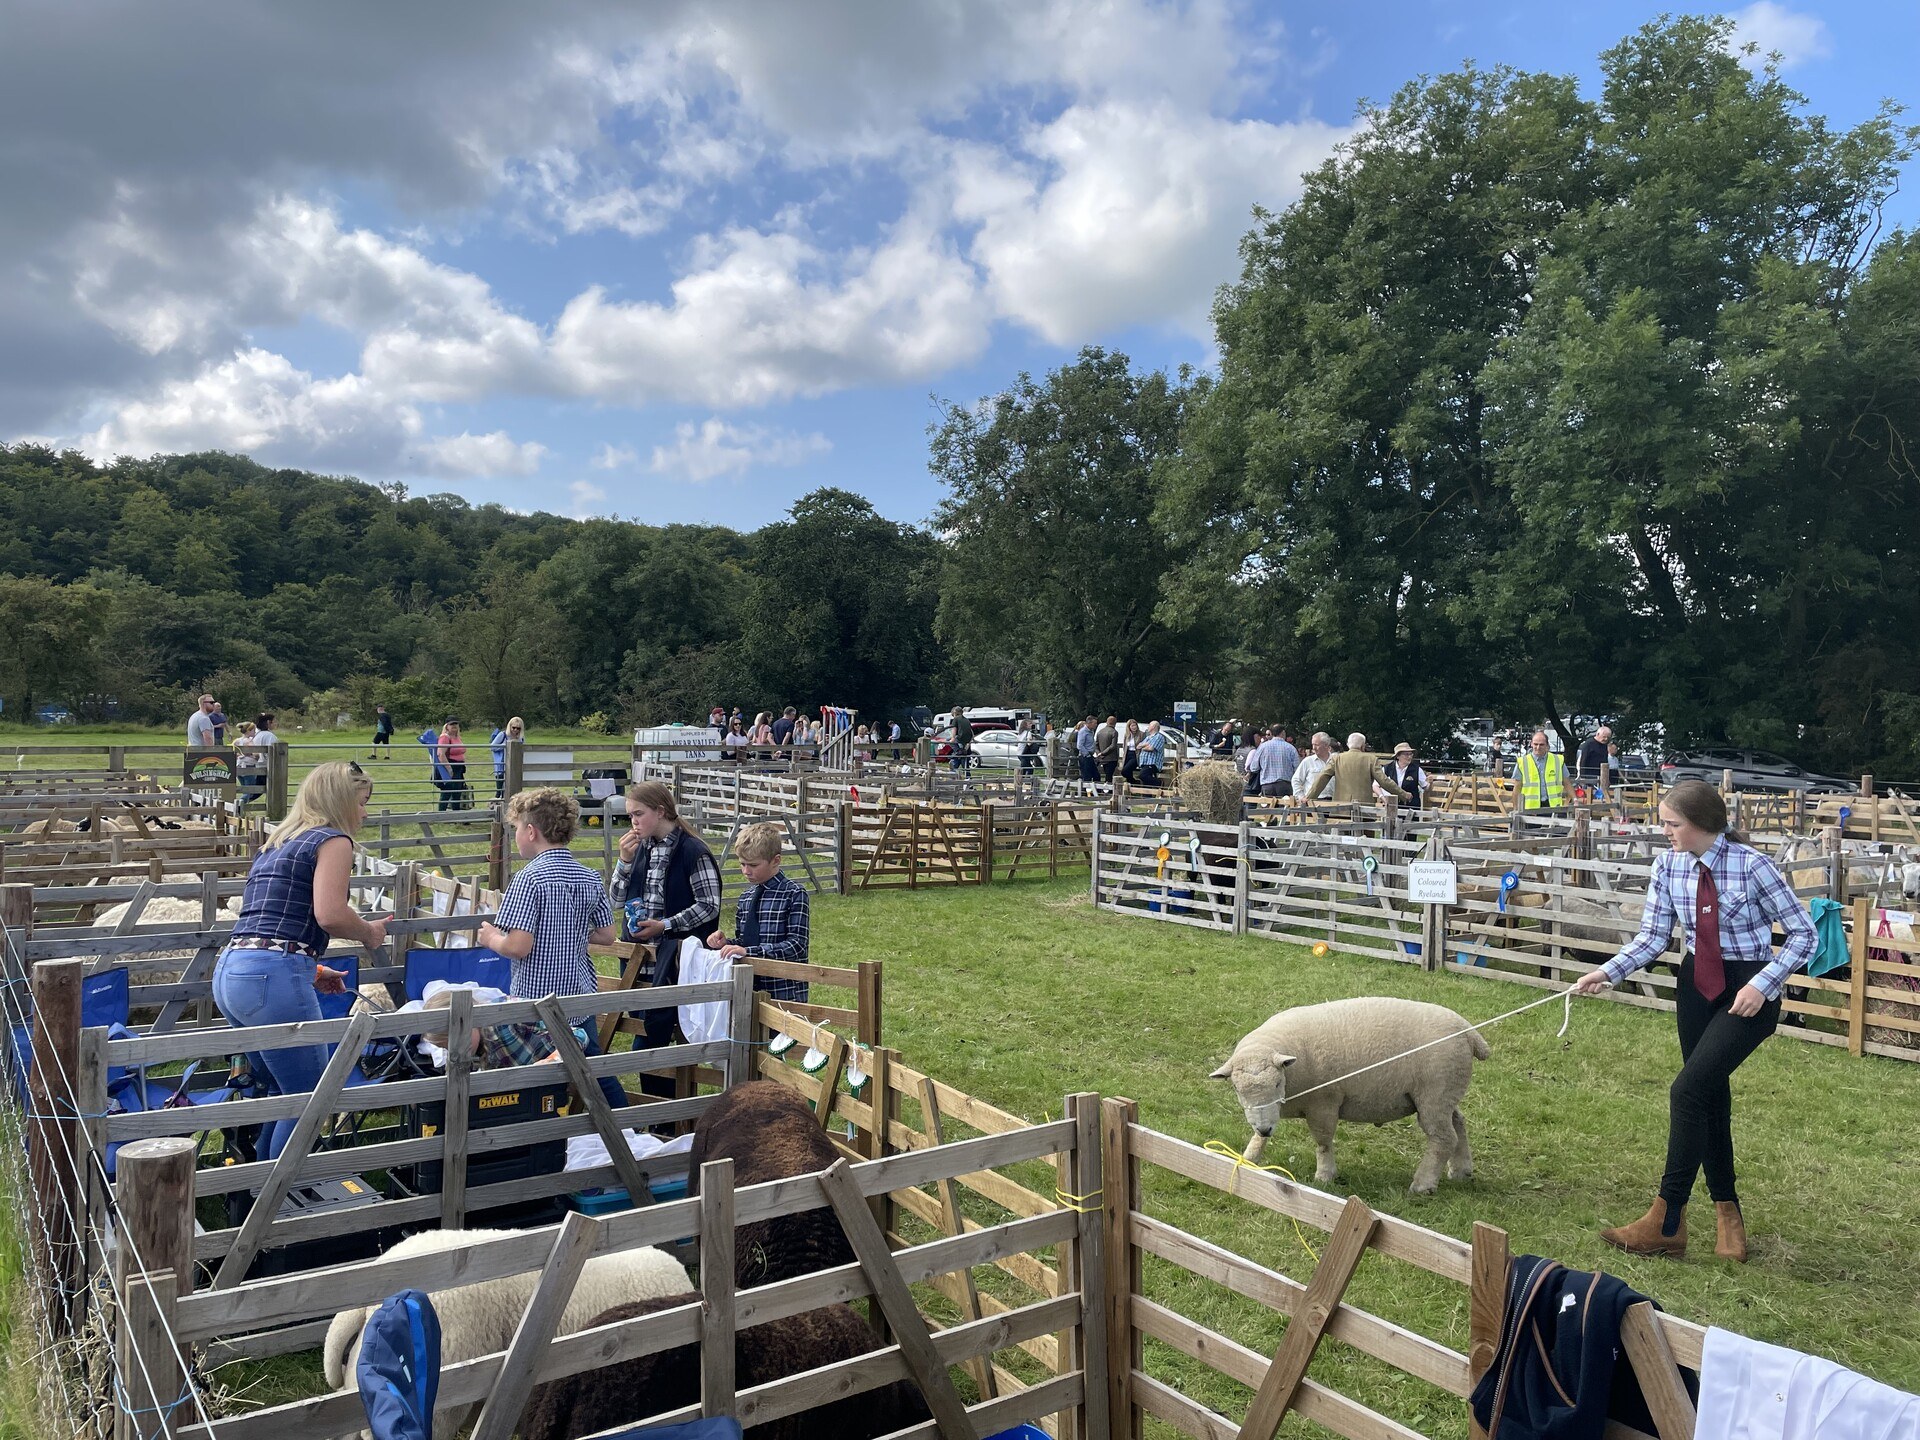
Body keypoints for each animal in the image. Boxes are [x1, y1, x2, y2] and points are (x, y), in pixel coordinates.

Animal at [1205, 998, 1489, 1198]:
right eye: (1238, 1090)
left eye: (1276, 1083)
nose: (1265, 1128)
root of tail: (1469, 1032)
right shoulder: (1274, 1112)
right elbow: (1259, 1137)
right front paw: (1249, 1156)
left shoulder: (1324, 1103)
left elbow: (1323, 1142)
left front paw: (1324, 1175)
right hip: (1445, 1094)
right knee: (1458, 1124)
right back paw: (1461, 1171)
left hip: (1434, 1094)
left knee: (1443, 1138)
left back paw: (1423, 1184)